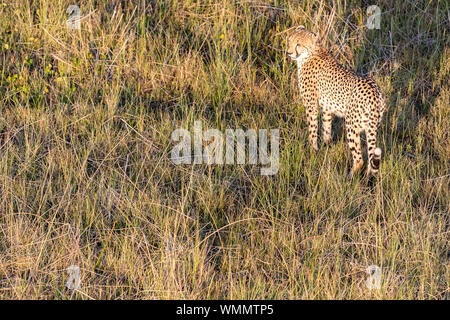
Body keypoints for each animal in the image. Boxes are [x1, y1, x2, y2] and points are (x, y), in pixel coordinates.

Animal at [286, 26, 384, 176]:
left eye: (299, 44)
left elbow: (312, 129)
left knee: (359, 158)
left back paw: (349, 176)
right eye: (290, 41)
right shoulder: (327, 106)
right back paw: (368, 176)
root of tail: (374, 92)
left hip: (351, 126)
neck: (311, 52)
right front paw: (326, 145)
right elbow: (326, 126)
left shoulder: (311, 106)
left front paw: (313, 150)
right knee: (371, 154)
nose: (289, 52)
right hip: (372, 127)